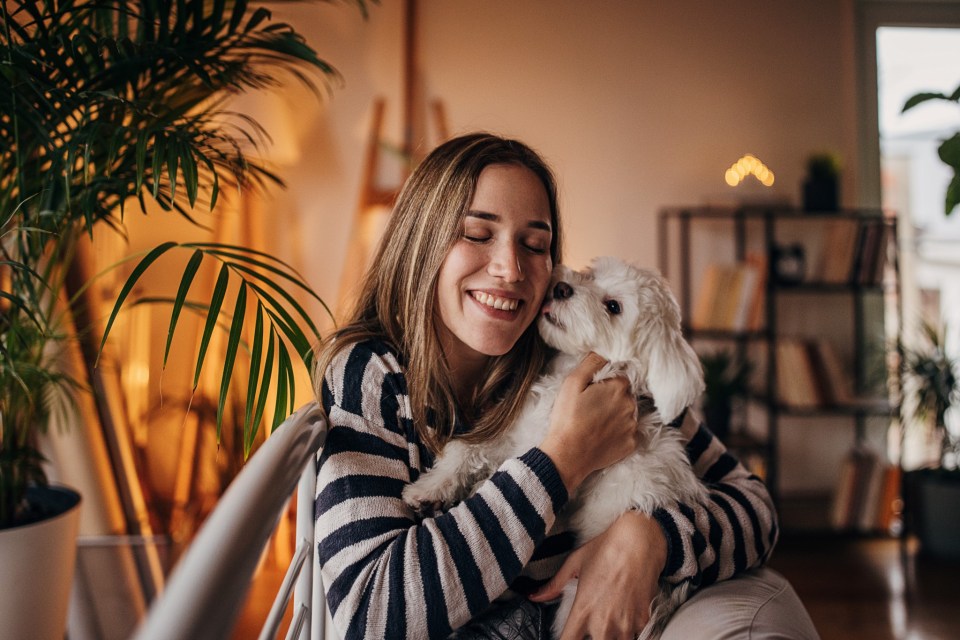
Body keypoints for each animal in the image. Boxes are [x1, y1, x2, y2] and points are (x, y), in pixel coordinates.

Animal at [402, 256, 708, 640]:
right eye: (591, 274)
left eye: (614, 307)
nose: (562, 287)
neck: (570, 374)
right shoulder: (516, 433)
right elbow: (466, 449)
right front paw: (429, 489)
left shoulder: (548, 454)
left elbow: (500, 471)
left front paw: (466, 489)